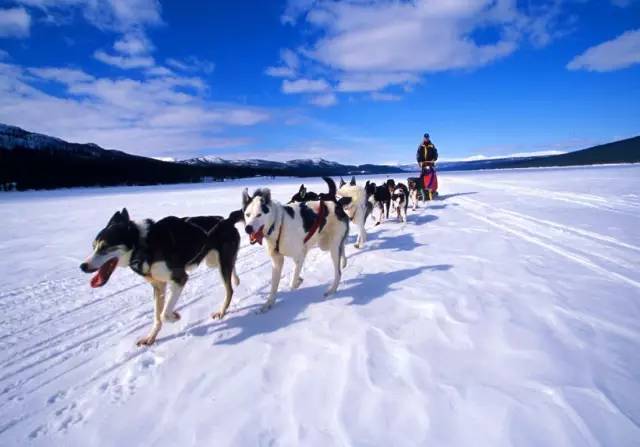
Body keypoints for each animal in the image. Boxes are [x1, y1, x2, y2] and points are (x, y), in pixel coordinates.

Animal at [79, 209, 240, 346]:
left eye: (105, 247)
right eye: (93, 246)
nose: (83, 266)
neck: (143, 246)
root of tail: (226, 220)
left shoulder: (180, 279)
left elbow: (164, 314)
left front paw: (175, 316)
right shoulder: (159, 286)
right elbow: (157, 317)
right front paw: (150, 337)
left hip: (220, 264)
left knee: (229, 290)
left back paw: (222, 311)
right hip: (213, 262)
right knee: (232, 267)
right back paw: (236, 279)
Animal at [242, 178, 350, 312]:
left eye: (259, 215)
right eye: (247, 214)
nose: (248, 228)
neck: (278, 225)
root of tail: (336, 204)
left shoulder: (300, 255)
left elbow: (292, 282)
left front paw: (297, 282)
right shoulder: (277, 261)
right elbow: (274, 286)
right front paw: (269, 304)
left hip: (333, 248)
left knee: (338, 272)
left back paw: (332, 290)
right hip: (325, 244)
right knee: (342, 246)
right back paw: (344, 261)